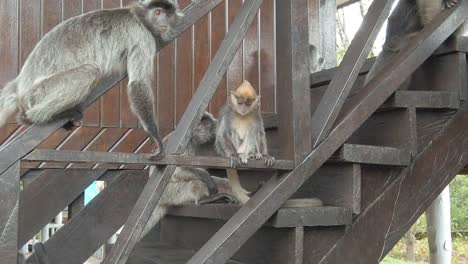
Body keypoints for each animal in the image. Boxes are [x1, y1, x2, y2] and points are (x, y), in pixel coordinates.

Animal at [0, 0, 185, 159]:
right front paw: (156, 136)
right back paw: (33, 117)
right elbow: (138, 83)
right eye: (158, 12)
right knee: (89, 72)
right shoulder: (142, 37)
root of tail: (20, 85)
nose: (164, 20)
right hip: (37, 93)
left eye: (168, 14)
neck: (137, 17)